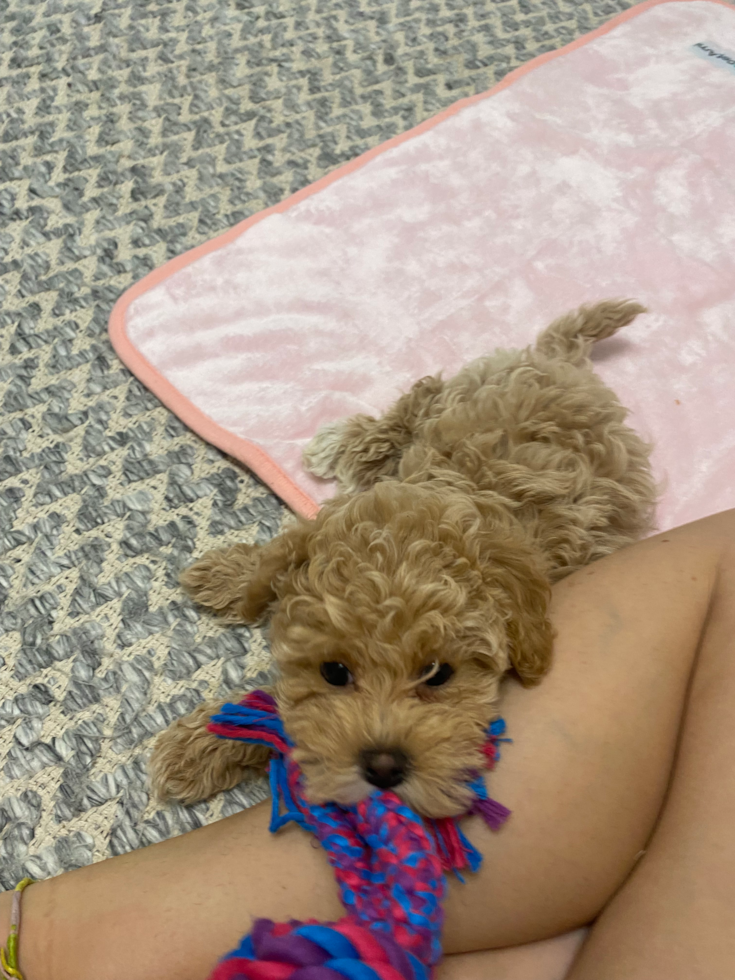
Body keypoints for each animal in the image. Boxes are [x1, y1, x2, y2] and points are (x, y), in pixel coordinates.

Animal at [150, 300, 656, 820]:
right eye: (336, 671)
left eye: (438, 674)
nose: (385, 766)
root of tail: (565, 362)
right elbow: (280, 558)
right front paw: (233, 580)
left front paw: (200, 747)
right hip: (458, 400)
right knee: (423, 393)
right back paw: (346, 442)